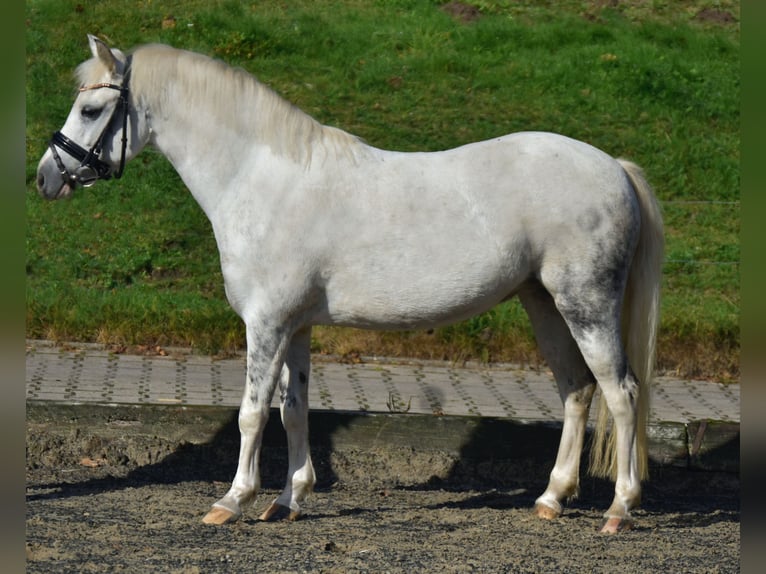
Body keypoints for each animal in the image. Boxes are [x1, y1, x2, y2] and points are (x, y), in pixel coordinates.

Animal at [34, 36, 664, 536]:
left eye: (91, 107)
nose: (45, 178)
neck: (261, 178)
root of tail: (615, 166)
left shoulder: (265, 323)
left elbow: (251, 413)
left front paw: (233, 501)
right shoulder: (295, 327)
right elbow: (293, 410)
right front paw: (288, 500)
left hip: (586, 304)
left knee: (621, 393)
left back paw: (619, 509)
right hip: (544, 304)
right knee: (577, 390)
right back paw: (551, 498)